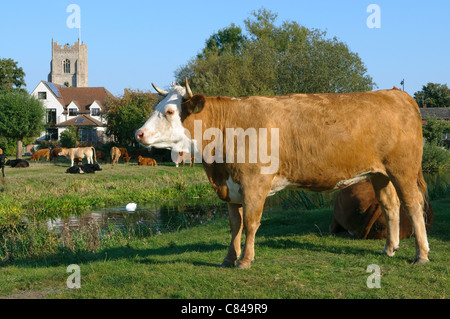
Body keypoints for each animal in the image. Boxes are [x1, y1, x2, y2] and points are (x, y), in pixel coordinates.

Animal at [135, 79, 430, 268]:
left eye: (169, 111)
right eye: (155, 108)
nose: (139, 133)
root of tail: (397, 93)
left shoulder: (254, 184)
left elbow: (251, 223)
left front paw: (245, 261)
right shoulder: (231, 188)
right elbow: (234, 225)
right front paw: (228, 259)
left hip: (403, 169)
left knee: (413, 205)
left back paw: (421, 255)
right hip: (380, 173)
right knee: (390, 205)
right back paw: (389, 249)